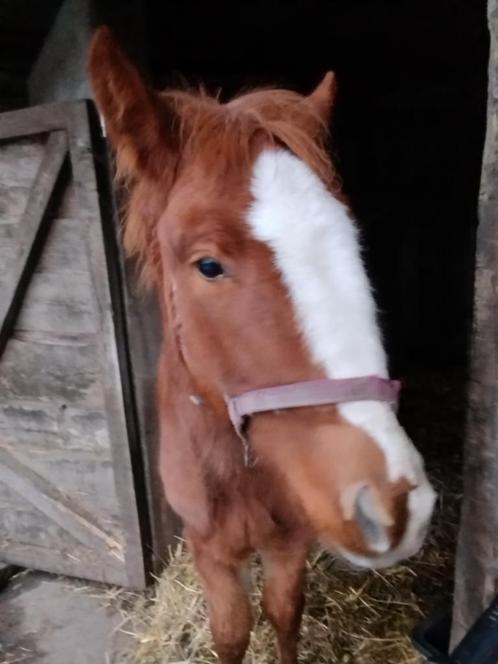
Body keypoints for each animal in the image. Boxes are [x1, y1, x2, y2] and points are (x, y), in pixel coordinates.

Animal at [89, 27, 436, 664]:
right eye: (208, 265)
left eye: (352, 242)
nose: (397, 505)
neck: (238, 467)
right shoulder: (209, 551)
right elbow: (230, 633)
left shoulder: (288, 542)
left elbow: (283, 614)